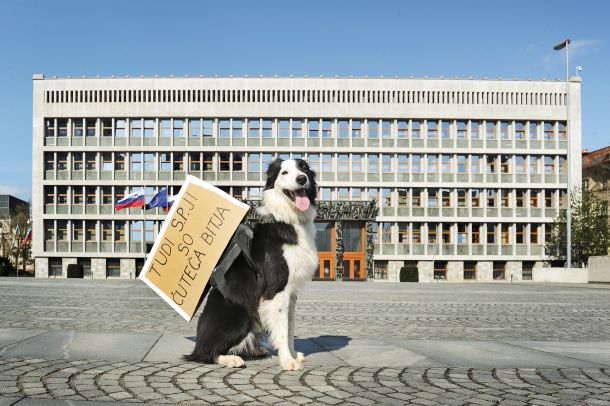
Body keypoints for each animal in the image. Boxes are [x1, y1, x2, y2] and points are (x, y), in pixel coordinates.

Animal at [184, 159, 318, 372]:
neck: (289, 220)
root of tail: (198, 342)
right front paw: (287, 361)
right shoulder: (277, 290)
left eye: (304, 168)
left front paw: (293, 354)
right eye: (284, 172)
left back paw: (254, 350)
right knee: (205, 354)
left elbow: (290, 328)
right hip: (241, 314)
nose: (301, 179)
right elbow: (282, 330)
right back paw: (231, 359)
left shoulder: (291, 293)